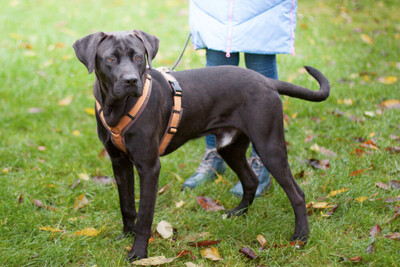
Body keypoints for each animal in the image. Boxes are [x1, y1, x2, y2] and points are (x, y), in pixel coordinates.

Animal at [73, 29, 330, 262]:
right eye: (110, 59)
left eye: (138, 57)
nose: (131, 81)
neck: (117, 107)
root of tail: (265, 80)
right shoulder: (119, 163)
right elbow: (126, 205)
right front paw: (126, 235)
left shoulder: (149, 167)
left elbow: (145, 215)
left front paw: (138, 253)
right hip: (230, 147)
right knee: (251, 180)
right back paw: (237, 213)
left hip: (269, 147)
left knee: (297, 193)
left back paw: (300, 237)